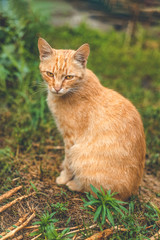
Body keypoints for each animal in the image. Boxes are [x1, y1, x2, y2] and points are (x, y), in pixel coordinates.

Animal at [38, 38, 146, 201]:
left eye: (68, 77)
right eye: (50, 74)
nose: (56, 88)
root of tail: (132, 192)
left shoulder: (71, 139)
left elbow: (69, 162)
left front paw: (63, 178)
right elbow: (66, 161)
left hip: (80, 154)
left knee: (95, 191)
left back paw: (74, 184)